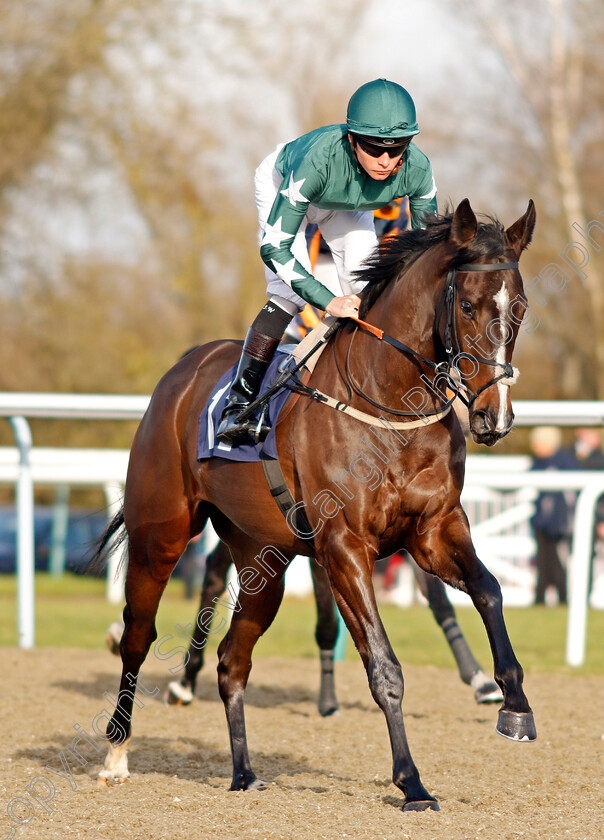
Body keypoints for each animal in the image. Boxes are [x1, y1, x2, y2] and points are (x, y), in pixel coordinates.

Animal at [96, 199, 536, 812]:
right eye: (468, 305)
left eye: (519, 307)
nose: (495, 417)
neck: (390, 405)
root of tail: (185, 367)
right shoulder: (346, 547)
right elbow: (384, 666)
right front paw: (411, 782)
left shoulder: (435, 531)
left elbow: (489, 590)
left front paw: (513, 703)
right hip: (159, 536)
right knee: (137, 636)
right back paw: (116, 753)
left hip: (264, 564)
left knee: (232, 661)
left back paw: (243, 771)